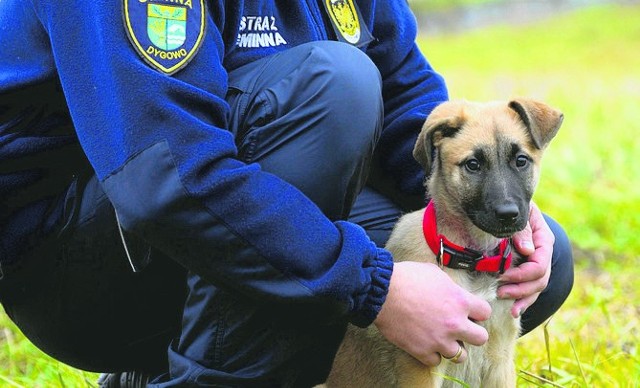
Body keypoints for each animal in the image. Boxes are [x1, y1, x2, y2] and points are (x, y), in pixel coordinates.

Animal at [328, 98, 564, 386]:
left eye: (521, 161)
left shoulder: (500, 357)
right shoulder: (422, 361)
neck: (476, 259)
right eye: (473, 165)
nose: (509, 215)